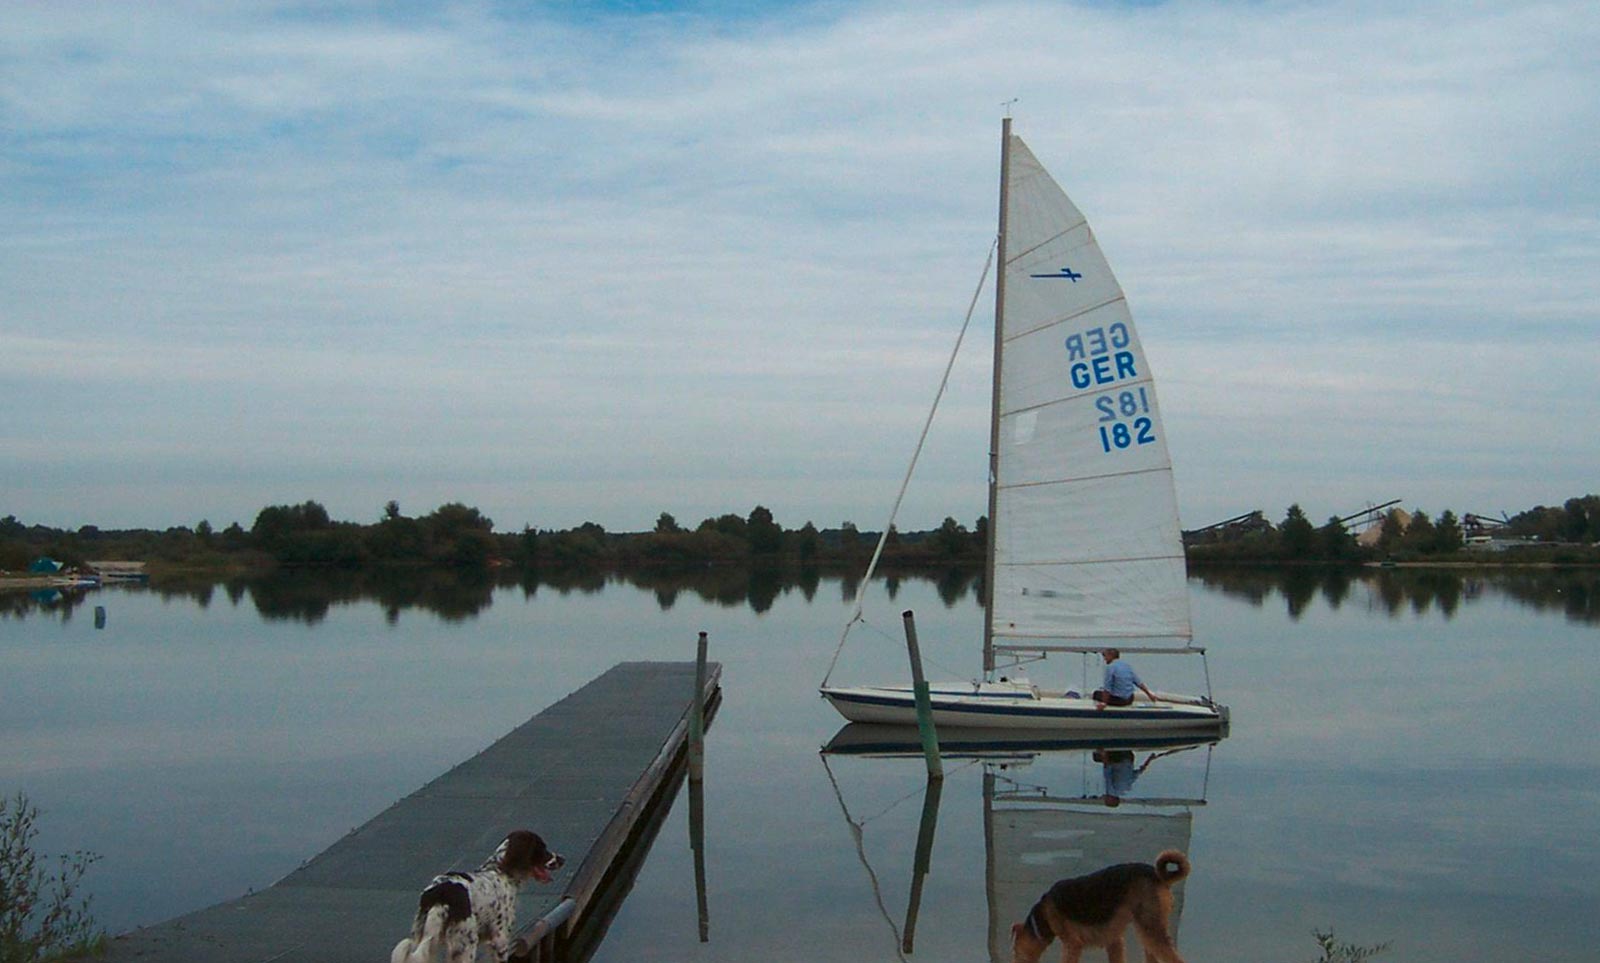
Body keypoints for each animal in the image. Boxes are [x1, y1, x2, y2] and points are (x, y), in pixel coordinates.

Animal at [390, 825, 566, 959]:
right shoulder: (500, 940)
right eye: (542, 848)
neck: (501, 870)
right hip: (467, 944)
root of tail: (440, 894)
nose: (562, 859)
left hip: (426, 940)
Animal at [1011, 844, 1190, 959]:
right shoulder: (1114, 938)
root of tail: (1159, 877)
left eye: (1015, 950)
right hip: (1147, 927)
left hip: (1150, 925)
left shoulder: (1072, 944)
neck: (1043, 916)